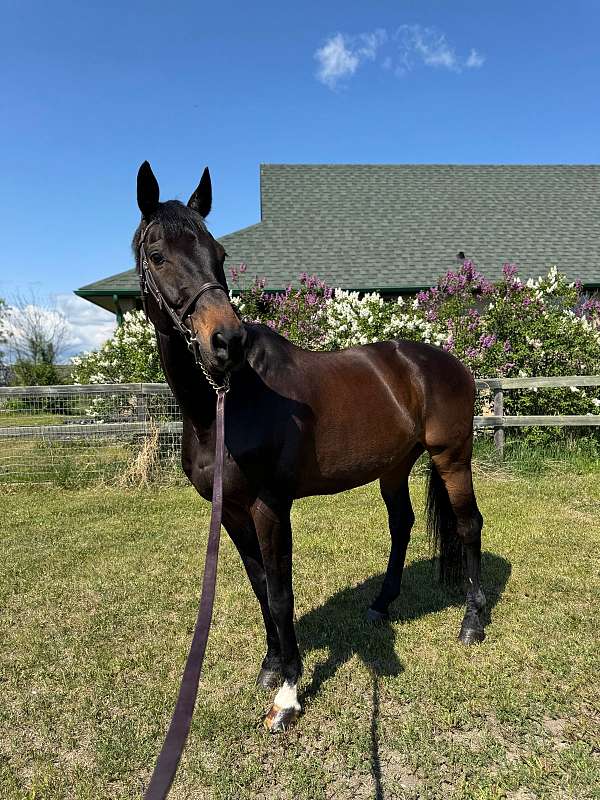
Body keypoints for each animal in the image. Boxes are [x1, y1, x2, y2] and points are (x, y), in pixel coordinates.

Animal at [133, 161, 486, 734]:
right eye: (159, 254)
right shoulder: (231, 512)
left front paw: (288, 693)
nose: (226, 342)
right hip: (394, 466)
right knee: (402, 525)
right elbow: (259, 585)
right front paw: (271, 666)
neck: (224, 406)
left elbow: (281, 592)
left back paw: (473, 622)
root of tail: (447, 361)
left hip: (452, 457)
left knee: (468, 524)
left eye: (219, 253)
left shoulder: (269, 507)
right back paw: (381, 604)